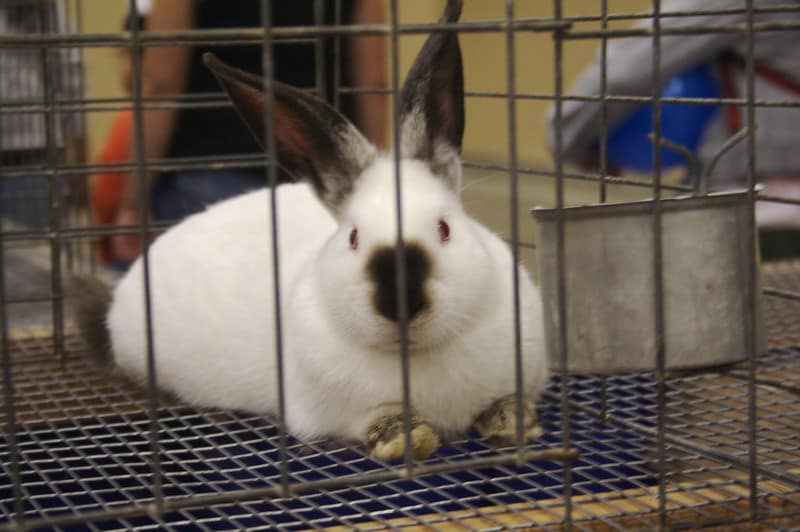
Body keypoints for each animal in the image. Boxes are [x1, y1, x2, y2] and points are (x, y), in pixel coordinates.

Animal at [76, 0, 548, 461]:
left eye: (445, 229)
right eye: (354, 238)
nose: (400, 300)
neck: (414, 356)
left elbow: (509, 399)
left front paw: (515, 421)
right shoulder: (336, 410)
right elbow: (378, 418)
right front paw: (404, 437)